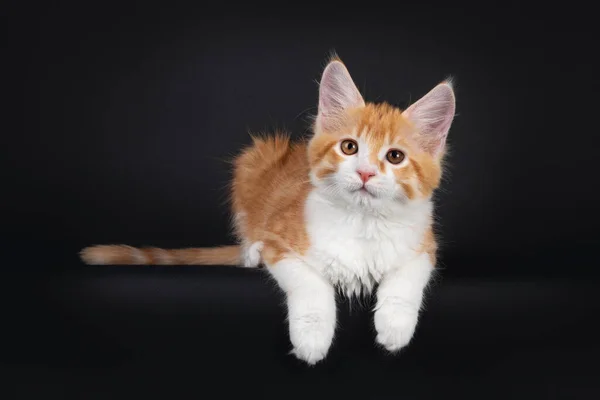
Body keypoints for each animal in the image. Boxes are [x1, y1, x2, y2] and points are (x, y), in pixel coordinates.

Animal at [79, 56, 454, 366]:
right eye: (349, 147)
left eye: (395, 156)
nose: (365, 173)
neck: (362, 222)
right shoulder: (282, 242)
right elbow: (310, 283)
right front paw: (312, 338)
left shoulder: (424, 245)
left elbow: (407, 278)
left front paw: (394, 327)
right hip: (253, 160)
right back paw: (252, 253)